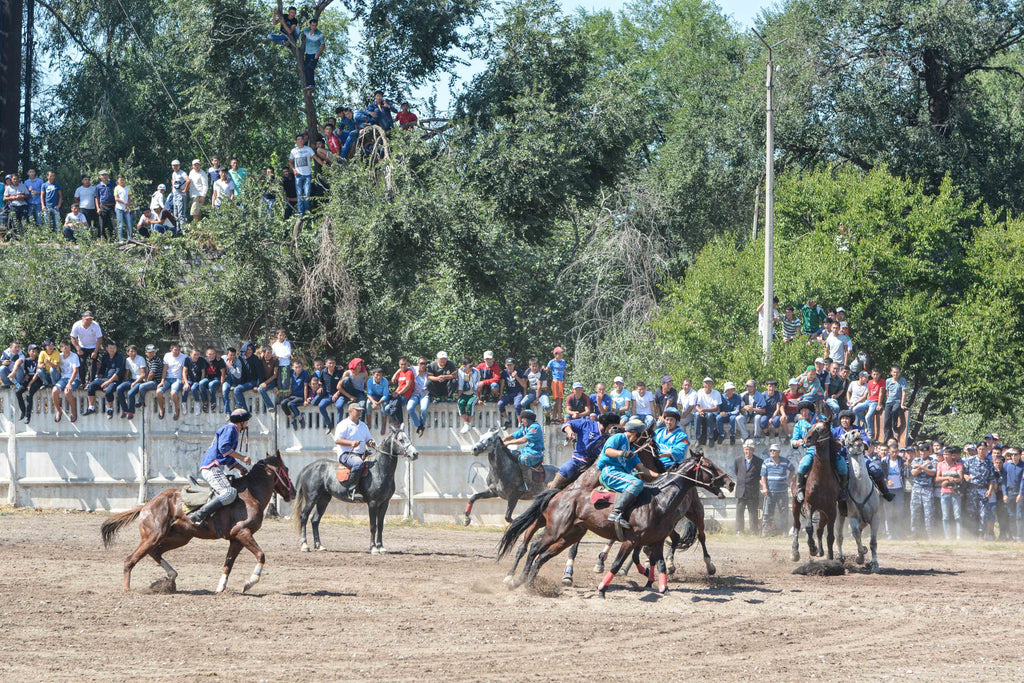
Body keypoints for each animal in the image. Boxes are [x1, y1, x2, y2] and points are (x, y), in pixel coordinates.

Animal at [100, 454, 296, 593]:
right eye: (286, 469)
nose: (293, 492)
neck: (250, 495)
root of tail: (146, 505)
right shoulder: (242, 532)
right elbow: (261, 555)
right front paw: (250, 582)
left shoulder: (236, 539)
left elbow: (228, 564)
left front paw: (220, 588)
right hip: (154, 536)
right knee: (130, 560)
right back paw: (127, 589)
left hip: (179, 537)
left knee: (155, 553)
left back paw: (170, 578)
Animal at [290, 428, 417, 557]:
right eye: (401, 439)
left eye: (407, 437)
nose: (415, 454)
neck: (379, 469)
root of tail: (308, 468)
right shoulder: (373, 503)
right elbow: (373, 526)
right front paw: (373, 548)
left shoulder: (384, 503)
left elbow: (380, 525)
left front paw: (381, 547)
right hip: (311, 498)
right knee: (304, 517)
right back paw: (304, 545)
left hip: (323, 500)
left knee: (315, 520)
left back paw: (319, 546)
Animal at [499, 454, 733, 598]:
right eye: (709, 466)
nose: (730, 482)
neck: (658, 500)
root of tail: (559, 493)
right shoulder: (631, 540)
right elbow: (616, 564)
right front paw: (602, 589)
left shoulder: (657, 540)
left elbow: (660, 564)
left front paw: (664, 588)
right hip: (555, 531)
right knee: (533, 549)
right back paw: (520, 580)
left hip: (570, 535)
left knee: (542, 556)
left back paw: (529, 582)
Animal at [790, 413, 839, 565]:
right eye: (810, 427)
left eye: (822, 429)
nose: (807, 438)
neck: (821, 478)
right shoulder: (808, 505)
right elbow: (808, 528)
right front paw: (812, 548)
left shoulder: (831, 510)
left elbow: (830, 536)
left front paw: (830, 556)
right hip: (795, 504)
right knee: (797, 525)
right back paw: (795, 552)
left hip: (823, 512)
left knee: (819, 529)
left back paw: (822, 551)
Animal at [835, 432, 884, 573]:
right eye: (845, 435)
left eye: (860, 432)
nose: (854, 432)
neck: (861, 488)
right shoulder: (852, 518)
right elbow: (856, 535)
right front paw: (860, 557)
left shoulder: (875, 518)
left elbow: (873, 543)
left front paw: (875, 565)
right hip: (839, 515)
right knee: (839, 536)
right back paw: (840, 558)